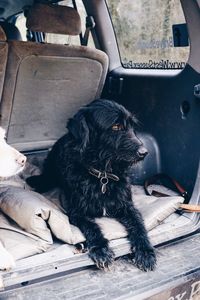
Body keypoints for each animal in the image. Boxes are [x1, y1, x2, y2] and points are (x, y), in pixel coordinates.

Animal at [27, 99, 157, 272]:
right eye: (116, 126)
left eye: (131, 126)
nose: (144, 152)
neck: (103, 175)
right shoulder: (77, 212)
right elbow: (92, 227)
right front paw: (101, 249)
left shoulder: (127, 206)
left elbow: (138, 225)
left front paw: (145, 251)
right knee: (48, 176)